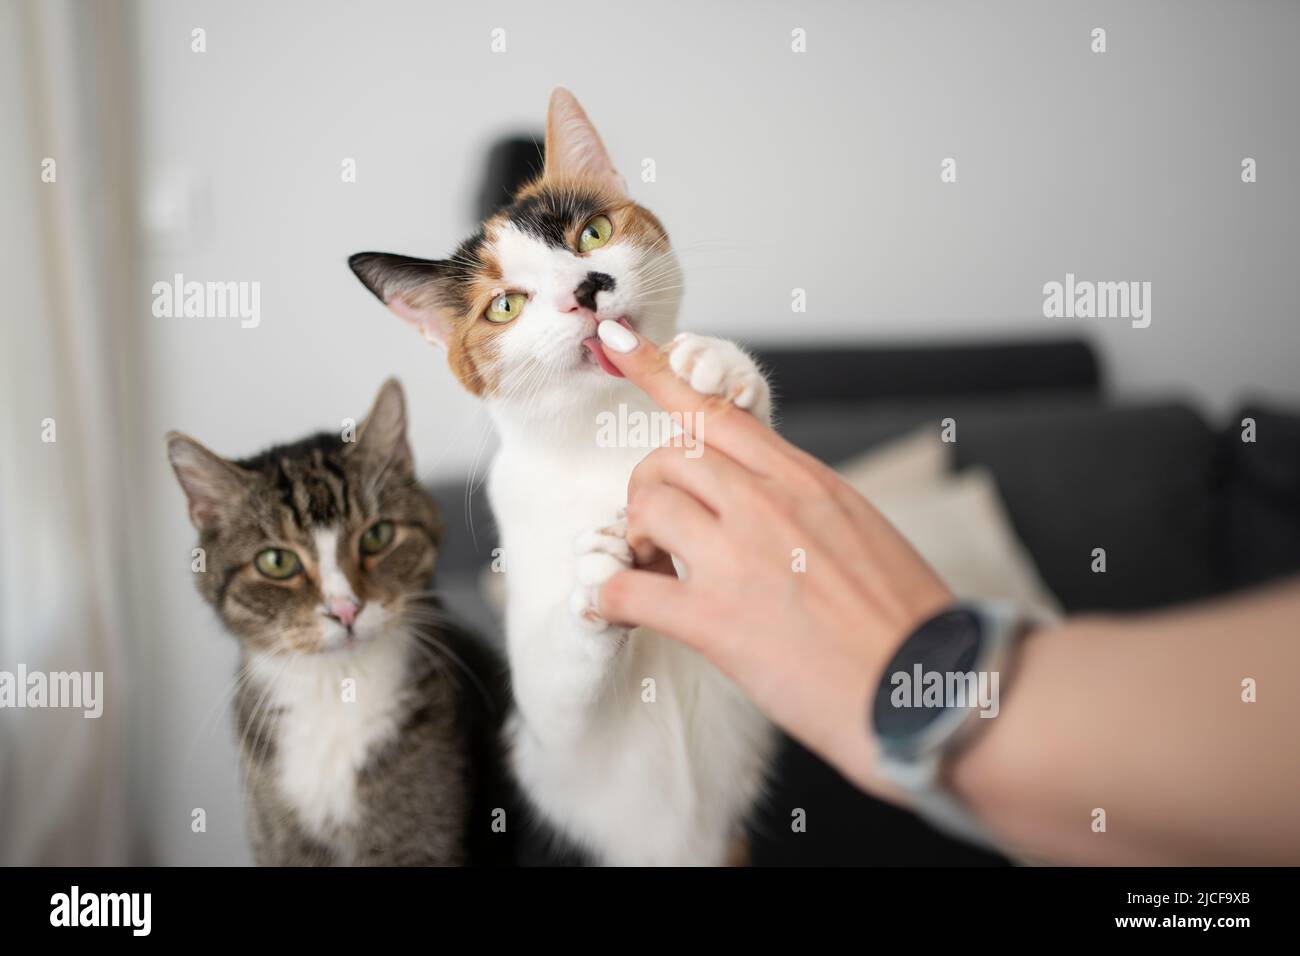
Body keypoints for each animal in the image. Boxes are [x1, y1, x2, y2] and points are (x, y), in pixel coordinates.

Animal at [163, 379, 506, 868]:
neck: (338, 688)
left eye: (378, 536)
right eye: (277, 562)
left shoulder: (422, 840)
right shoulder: (279, 839)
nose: (345, 609)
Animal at [345, 91, 774, 868]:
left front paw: (722, 371)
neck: (605, 431)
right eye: (505, 305)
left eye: (593, 233)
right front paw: (597, 575)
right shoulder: (545, 742)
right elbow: (558, 684)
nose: (585, 289)